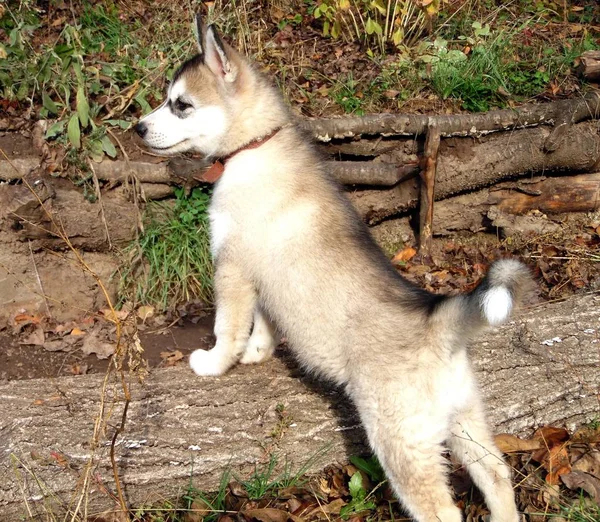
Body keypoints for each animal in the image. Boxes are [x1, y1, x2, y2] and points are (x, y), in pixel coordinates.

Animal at [135, 15, 524, 520]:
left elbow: (228, 327)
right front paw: (257, 353)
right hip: (466, 422)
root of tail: (439, 319)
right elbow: (264, 321)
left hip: (402, 441)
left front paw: (216, 363)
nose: (137, 128)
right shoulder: (264, 278)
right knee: (497, 476)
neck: (255, 146)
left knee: (443, 510)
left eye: (180, 105)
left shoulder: (232, 267)